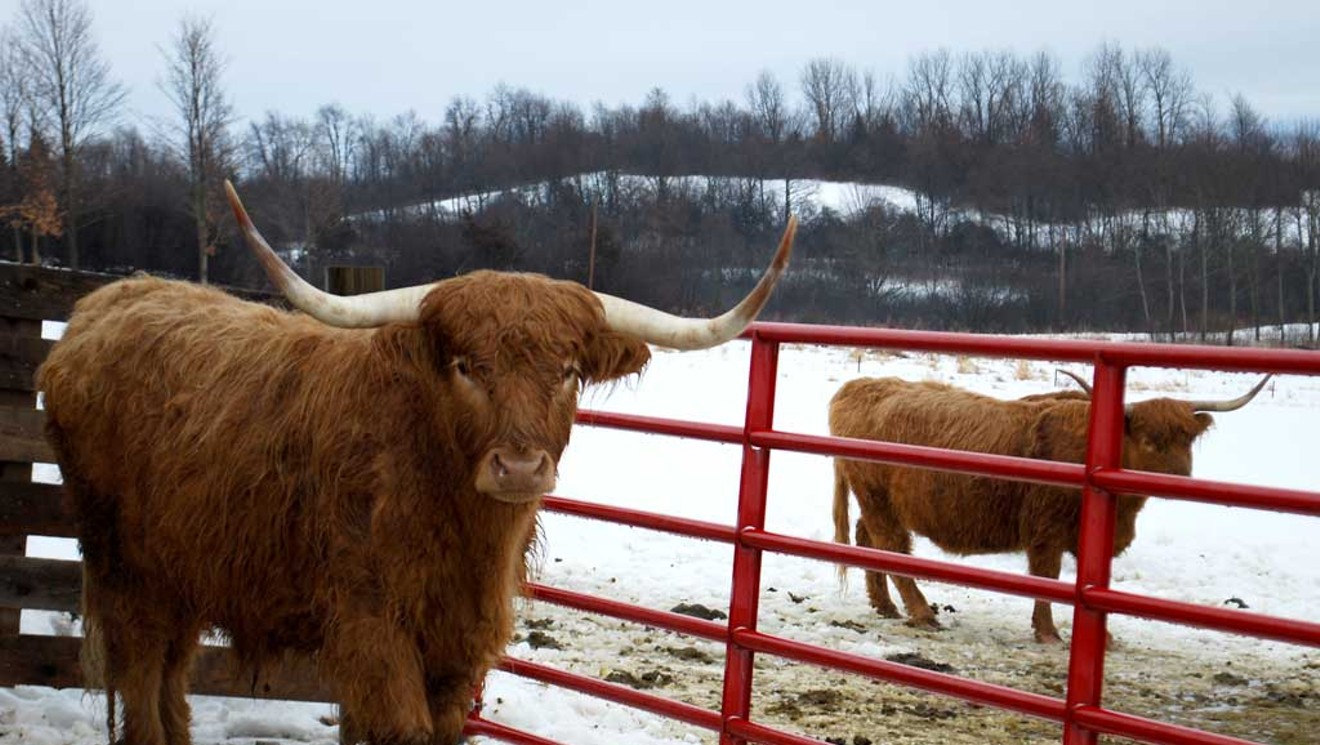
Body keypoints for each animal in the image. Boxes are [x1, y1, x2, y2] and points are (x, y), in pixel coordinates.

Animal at [41, 182, 792, 745]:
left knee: (171, 680)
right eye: (465, 365)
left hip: (184, 573)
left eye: (568, 370)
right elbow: (400, 729)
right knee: (141, 678)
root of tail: (108, 303)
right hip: (124, 569)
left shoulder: (462, 643)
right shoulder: (373, 629)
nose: (520, 467)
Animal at [828, 375, 1272, 641]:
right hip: (878, 499)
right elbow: (1048, 579)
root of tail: (861, 384)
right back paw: (921, 611)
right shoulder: (1047, 531)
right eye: (1149, 439)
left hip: (879, 502)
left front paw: (1102, 637)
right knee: (892, 547)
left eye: (1187, 439)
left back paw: (885, 606)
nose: (1180, 479)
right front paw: (1047, 632)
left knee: (868, 540)